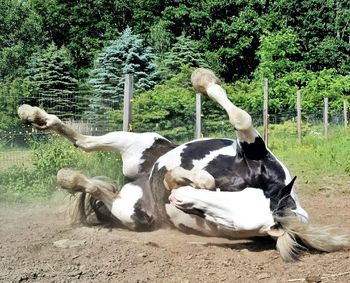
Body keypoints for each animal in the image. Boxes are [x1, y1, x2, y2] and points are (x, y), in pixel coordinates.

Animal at [17, 68, 348, 262]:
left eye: (225, 222)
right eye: (235, 197)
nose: (176, 198)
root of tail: (135, 180)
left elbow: (202, 178)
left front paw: (178, 180)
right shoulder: (255, 151)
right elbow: (241, 117)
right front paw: (203, 79)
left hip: (129, 210)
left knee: (94, 182)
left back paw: (68, 175)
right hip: (138, 142)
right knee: (83, 142)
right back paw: (34, 115)